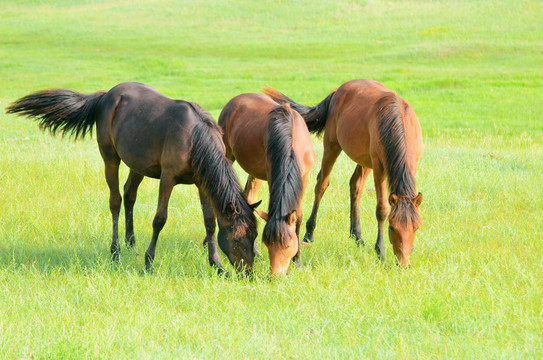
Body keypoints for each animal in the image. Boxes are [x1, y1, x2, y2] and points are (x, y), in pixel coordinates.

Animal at [5, 81, 258, 272]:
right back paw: (116, 253)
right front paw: (149, 262)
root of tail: (105, 96)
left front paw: (216, 265)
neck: (195, 138)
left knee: (129, 195)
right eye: (237, 238)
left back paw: (131, 245)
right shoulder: (168, 178)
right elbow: (160, 219)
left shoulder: (201, 182)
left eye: (255, 236)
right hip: (110, 158)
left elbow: (209, 222)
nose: (247, 272)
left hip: (138, 164)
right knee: (115, 201)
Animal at [219, 94, 316, 274]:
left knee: (249, 198)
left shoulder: (304, 178)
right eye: (268, 244)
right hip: (227, 154)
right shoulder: (273, 177)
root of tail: (234, 100)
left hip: (255, 172)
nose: (275, 276)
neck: (293, 140)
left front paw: (297, 261)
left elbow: (298, 217)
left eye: (288, 246)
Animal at [264, 80, 424, 266]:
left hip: (364, 160)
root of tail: (338, 91)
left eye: (416, 228)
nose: (403, 263)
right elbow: (382, 209)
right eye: (392, 227)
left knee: (355, 186)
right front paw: (380, 251)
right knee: (321, 184)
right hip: (332, 146)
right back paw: (309, 233)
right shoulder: (379, 168)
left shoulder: (412, 163)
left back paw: (357, 235)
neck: (400, 122)